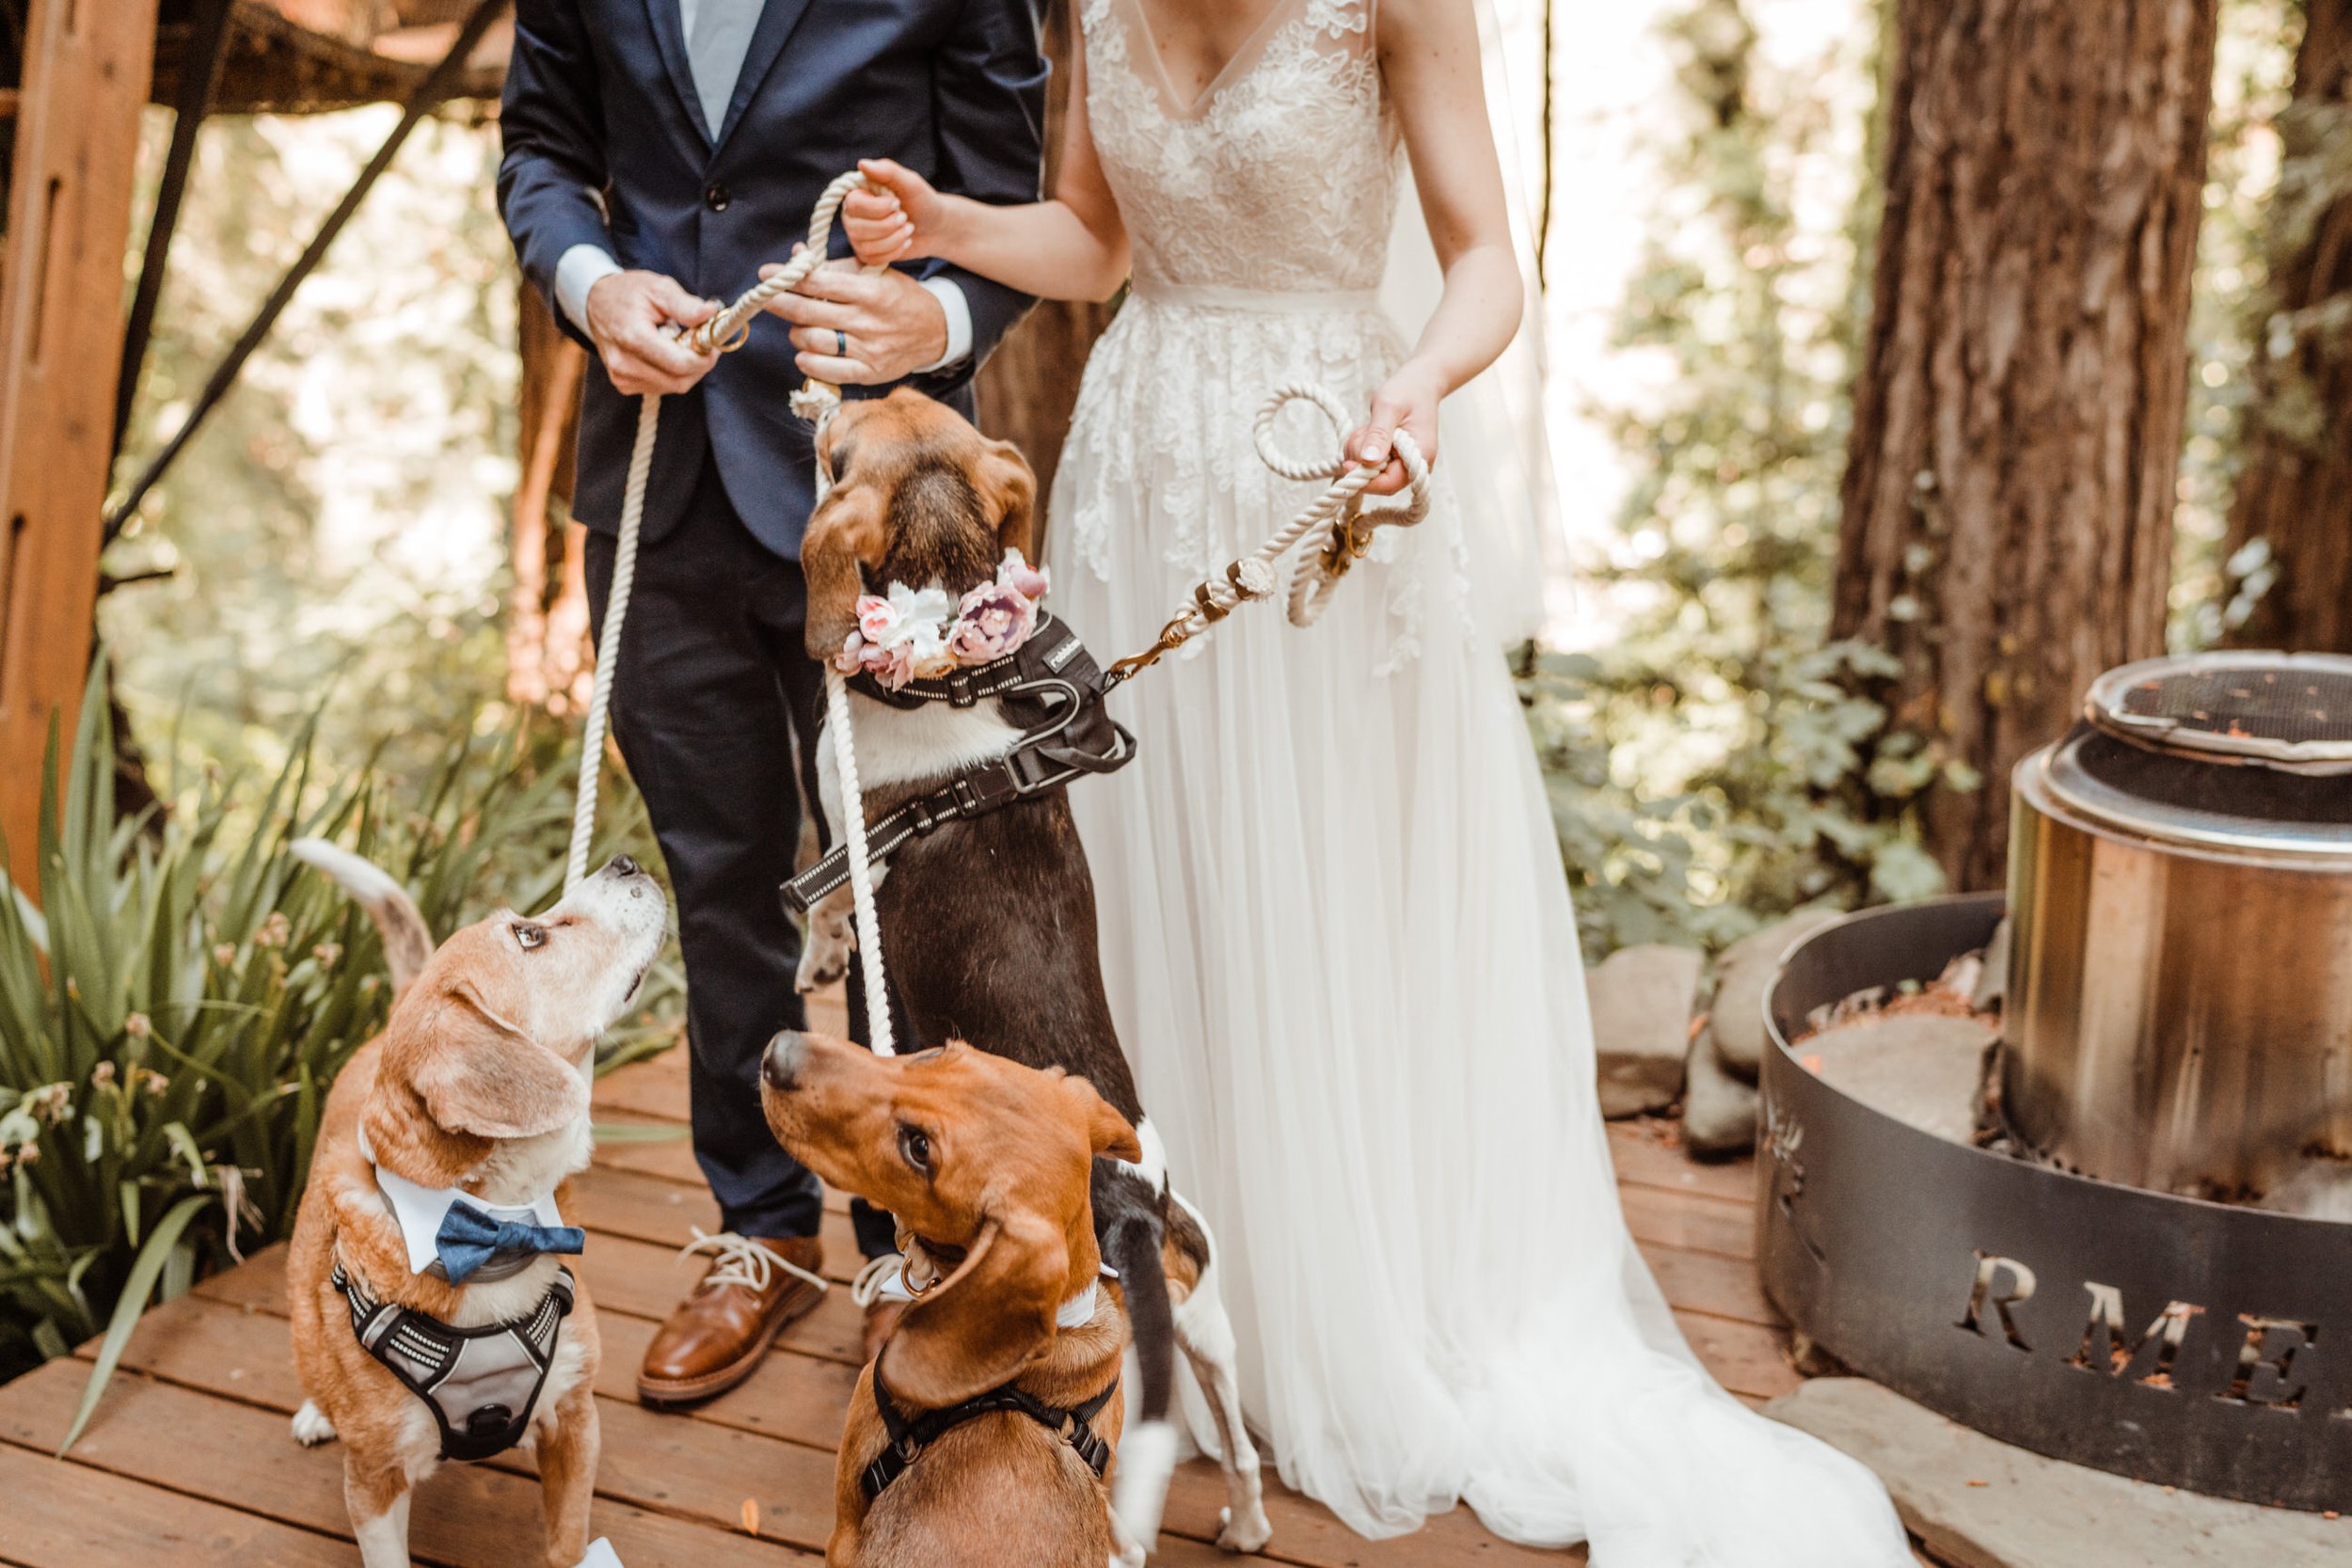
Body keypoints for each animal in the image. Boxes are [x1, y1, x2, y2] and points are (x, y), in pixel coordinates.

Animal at [289, 846, 673, 1568]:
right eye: (530, 935)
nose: (625, 859)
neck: (494, 1236)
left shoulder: (575, 1421)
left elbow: (568, 1545)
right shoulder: (375, 1482)